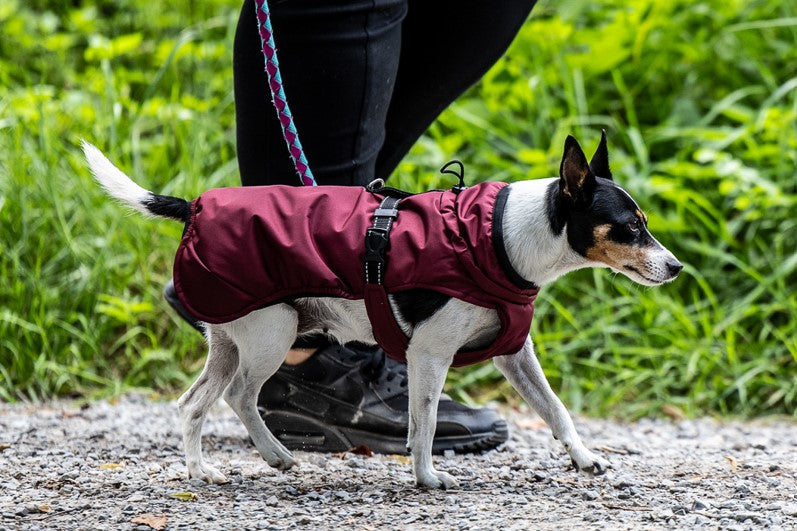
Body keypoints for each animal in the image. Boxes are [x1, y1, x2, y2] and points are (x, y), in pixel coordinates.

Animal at [81, 134, 680, 490]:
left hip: (230, 341)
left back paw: (240, 461)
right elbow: (426, 418)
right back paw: (217, 467)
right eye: (629, 227)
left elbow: (555, 410)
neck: (500, 236)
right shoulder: (429, 355)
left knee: (194, 403)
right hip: (272, 334)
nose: (675, 267)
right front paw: (428, 477)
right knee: (236, 397)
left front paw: (583, 458)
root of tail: (193, 209)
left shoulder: (514, 355)